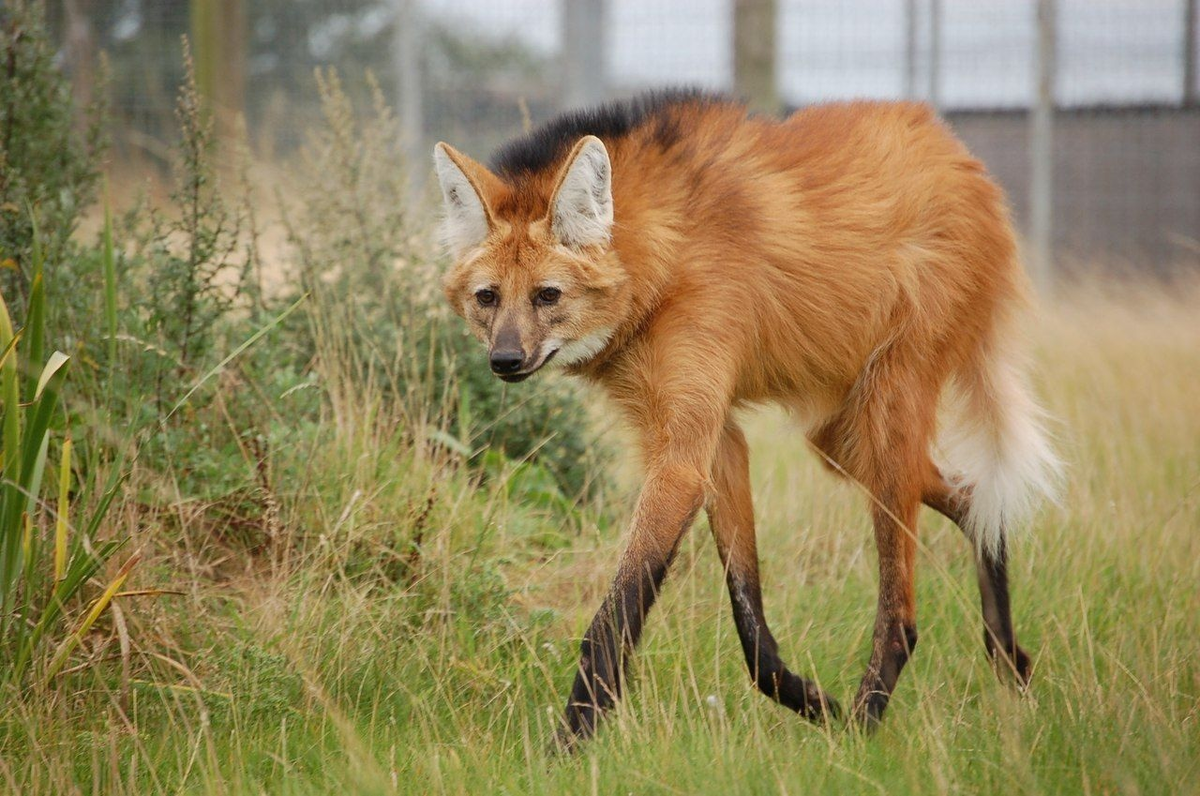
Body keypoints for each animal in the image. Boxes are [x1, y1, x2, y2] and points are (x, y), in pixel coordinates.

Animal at [432, 90, 1060, 749]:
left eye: (547, 296)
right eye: (488, 298)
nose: (504, 361)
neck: (663, 259)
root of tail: (962, 159)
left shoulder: (682, 458)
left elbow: (612, 618)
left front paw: (568, 746)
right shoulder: (716, 439)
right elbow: (751, 627)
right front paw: (814, 702)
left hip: (887, 409)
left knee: (902, 618)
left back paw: (865, 728)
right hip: (840, 437)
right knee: (974, 499)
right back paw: (1009, 662)